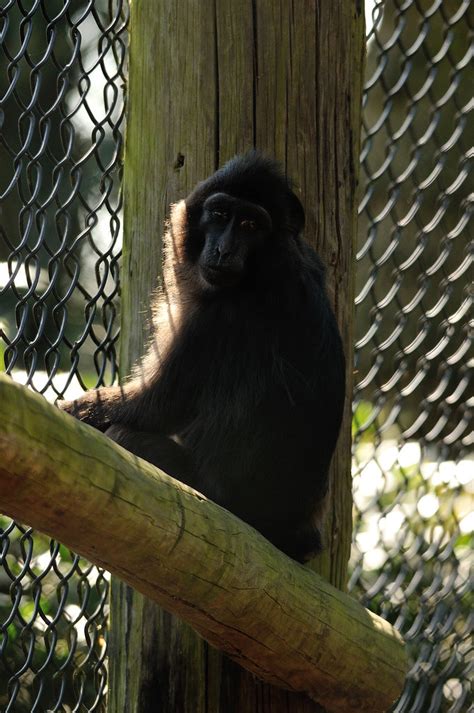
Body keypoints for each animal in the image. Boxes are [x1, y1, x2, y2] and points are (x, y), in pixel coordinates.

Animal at [61, 154, 346, 560]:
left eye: (250, 225)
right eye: (220, 214)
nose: (224, 250)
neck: (267, 264)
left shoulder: (214, 318)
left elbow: (154, 407)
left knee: (127, 435)